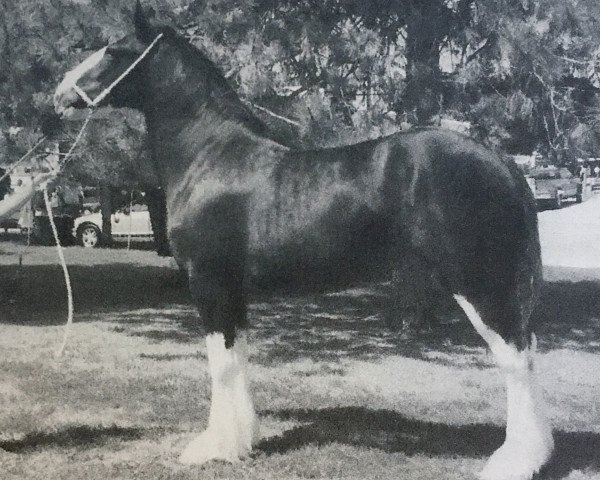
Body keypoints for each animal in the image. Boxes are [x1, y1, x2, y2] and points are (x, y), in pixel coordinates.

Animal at [55, 4, 552, 480]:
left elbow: (220, 362)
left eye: (114, 51)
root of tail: (503, 163)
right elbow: (238, 357)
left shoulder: (209, 282)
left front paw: (214, 449)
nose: (60, 94)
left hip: (481, 285)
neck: (211, 155)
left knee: (515, 360)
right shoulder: (233, 289)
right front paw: (244, 441)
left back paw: (514, 463)